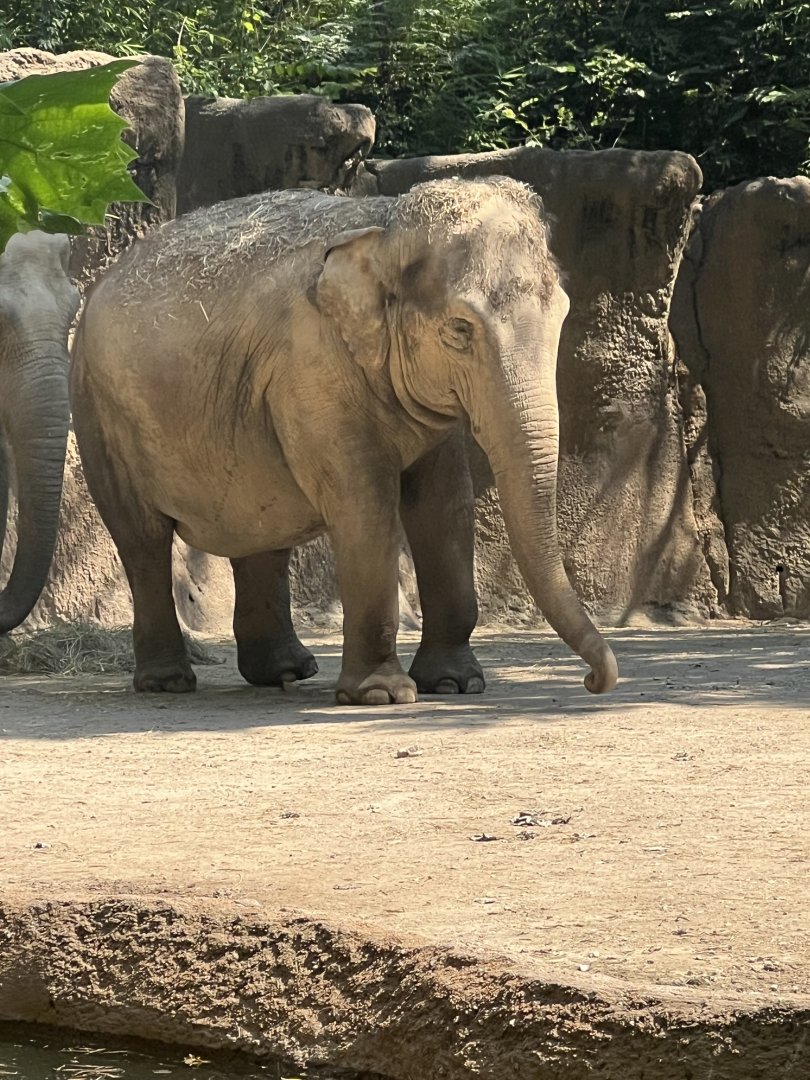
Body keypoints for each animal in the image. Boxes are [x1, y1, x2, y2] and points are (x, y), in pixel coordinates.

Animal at [70, 176, 618, 704]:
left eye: (562, 314)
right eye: (460, 330)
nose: (595, 680)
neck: (386, 226)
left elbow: (444, 506)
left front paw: (454, 684)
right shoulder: (311, 373)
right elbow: (364, 504)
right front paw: (381, 695)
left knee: (259, 525)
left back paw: (285, 672)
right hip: (98, 410)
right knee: (143, 539)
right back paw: (168, 683)